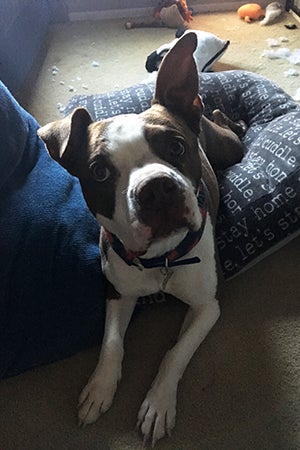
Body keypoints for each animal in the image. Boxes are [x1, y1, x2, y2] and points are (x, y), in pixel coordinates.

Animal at [37, 32, 245, 446]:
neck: (162, 257)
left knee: (224, 122)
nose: (156, 188)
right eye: (100, 172)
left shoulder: (208, 306)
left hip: (230, 146)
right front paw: (99, 389)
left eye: (176, 147)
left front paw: (158, 404)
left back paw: (228, 116)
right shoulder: (117, 292)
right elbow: (111, 343)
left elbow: (176, 352)